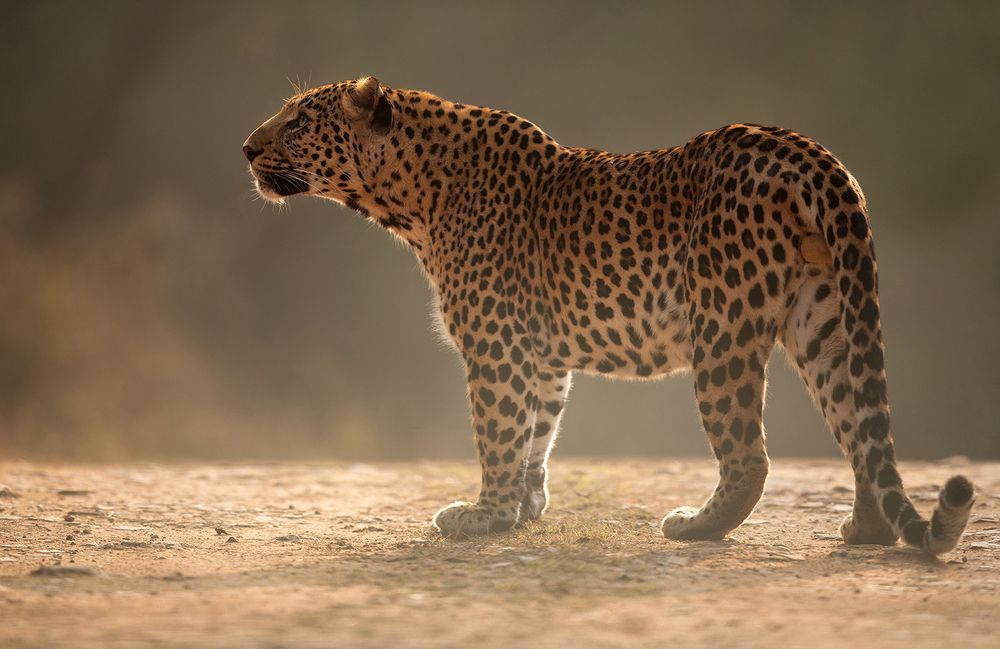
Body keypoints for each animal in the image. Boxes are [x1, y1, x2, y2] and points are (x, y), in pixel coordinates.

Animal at [243, 76, 974, 554]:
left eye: (298, 120)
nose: (247, 147)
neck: (412, 197)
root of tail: (815, 157)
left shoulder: (496, 346)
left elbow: (497, 434)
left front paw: (483, 515)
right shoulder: (538, 354)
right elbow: (536, 436)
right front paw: (522, 510)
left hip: (723, 326)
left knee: (750, 455)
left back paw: (695, 526)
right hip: (823, 317)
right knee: (861, 430)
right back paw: (868, 530)